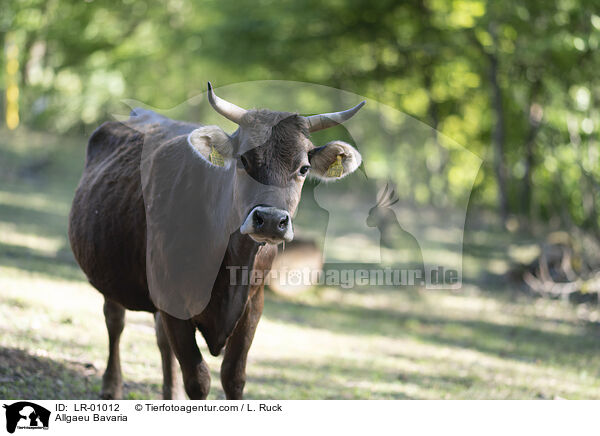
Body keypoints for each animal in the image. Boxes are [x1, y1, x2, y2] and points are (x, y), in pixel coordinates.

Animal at [68, 83, 364, 400]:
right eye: (244, 160)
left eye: (304, 168)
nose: (271, 220)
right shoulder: (173, 299)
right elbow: (198, 380)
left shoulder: (253, 304)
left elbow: (233, 377)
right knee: (115, 320)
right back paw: (111, 386)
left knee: (159, 339)